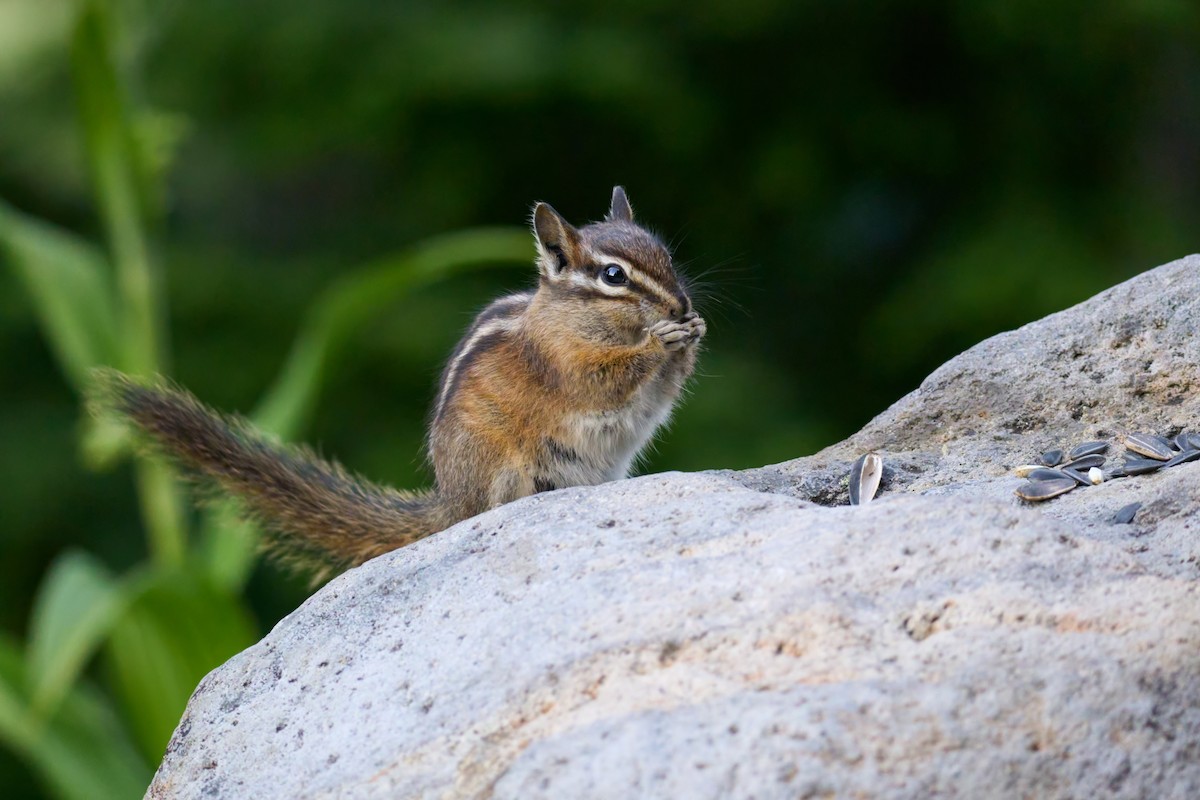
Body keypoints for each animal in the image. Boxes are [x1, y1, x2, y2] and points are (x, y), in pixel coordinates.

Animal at [95, 187, 706, 579]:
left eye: (666, 255)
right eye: (613, 276)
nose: (681, 303)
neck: (569, 319)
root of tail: (448, 501)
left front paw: (692, 334)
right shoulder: (565, 364)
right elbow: (606, 379)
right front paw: (660, 343)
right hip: (501, 469)